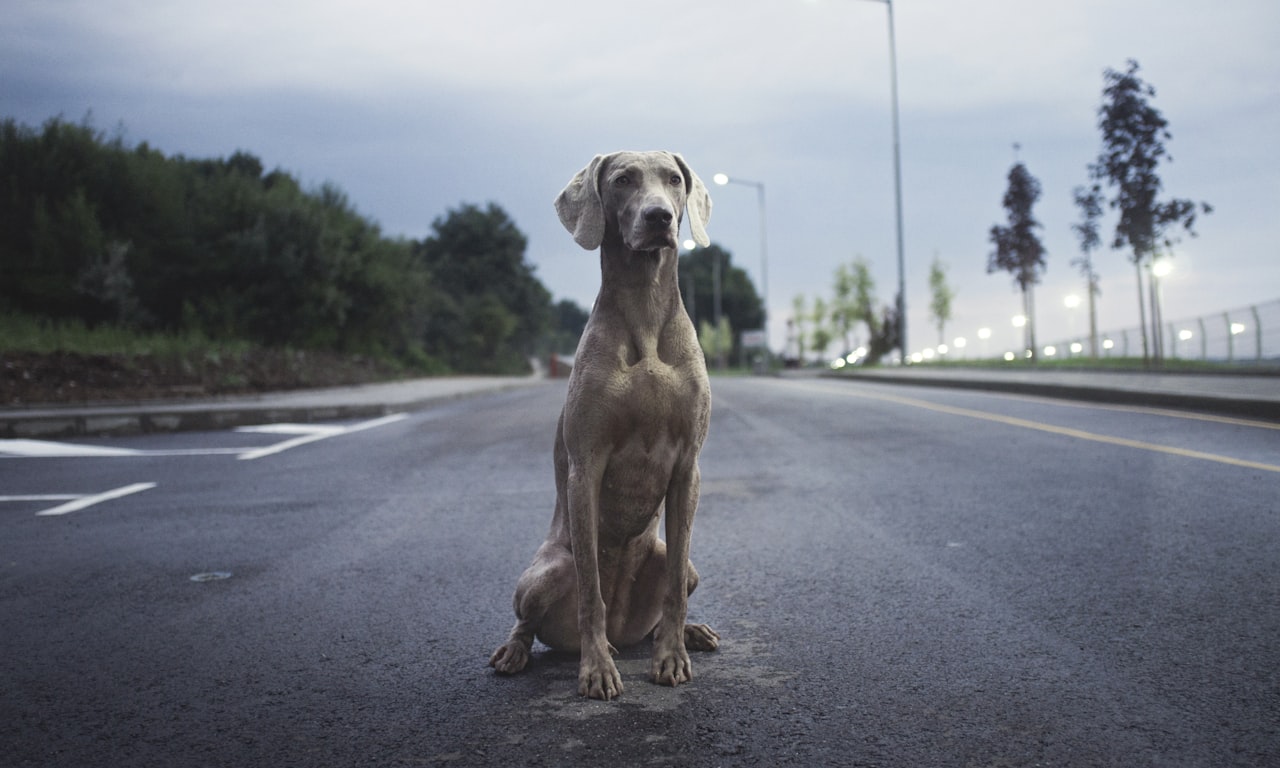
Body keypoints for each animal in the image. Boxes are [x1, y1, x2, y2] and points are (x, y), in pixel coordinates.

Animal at [488, 151, 721, 701]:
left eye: (674, 180)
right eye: (622, 180)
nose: (660, 217)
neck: (645, 311)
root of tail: (623, 629)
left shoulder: (688, 467)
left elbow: (675, 588)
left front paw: (671, 657)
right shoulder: (586, 466)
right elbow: (591, 590)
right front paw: (596, 670)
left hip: (676, 562)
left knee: (673, 585)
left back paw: (687, 633)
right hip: (546, 571)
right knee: (530, 620)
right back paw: (517, 652)